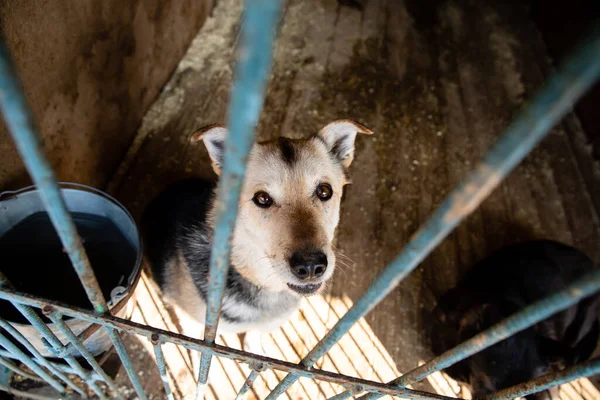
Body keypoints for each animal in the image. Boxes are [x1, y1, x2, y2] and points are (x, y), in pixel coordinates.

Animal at [143, 119, 372, 354]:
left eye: (324, 191)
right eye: (262, 198)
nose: (311, 267)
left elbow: (255, 334)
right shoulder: (191, 322)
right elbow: (197, 348)